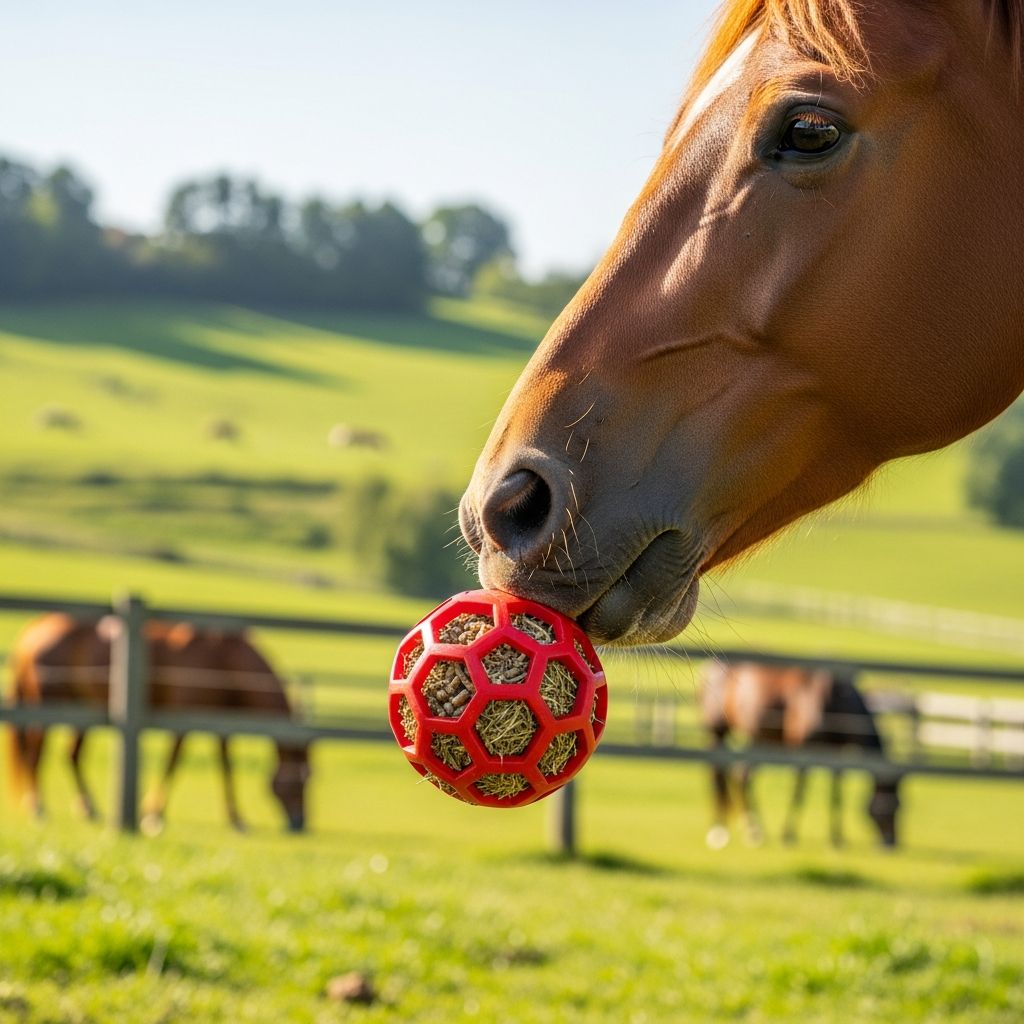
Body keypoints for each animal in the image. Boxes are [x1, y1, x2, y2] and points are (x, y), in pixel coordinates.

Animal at [7, 613, 310, 832]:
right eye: (300, 780)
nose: (300, 824)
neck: (225, 658)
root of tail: (33, 629)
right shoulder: (183, 719)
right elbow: (173, 762)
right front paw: (153, 815)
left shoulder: (220, 725)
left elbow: (225, 768)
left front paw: (237, 819)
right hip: (48, 705)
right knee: (35, 754)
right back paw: (38, 807)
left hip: (81, 708)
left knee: (72, 755)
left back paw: (88, 808)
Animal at [700, 660, 901, 848]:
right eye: (888, 806)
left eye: (900, 804)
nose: (891, 843)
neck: (832, 700)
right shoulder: (803, 751)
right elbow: (799, 792)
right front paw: (788, 835)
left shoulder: (835, 755)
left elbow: (836, 795)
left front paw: (837, 839)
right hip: (717, 733)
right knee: (718, 776)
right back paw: (720, 831)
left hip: (758, 741)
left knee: (741, 777)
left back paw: (753, 831)